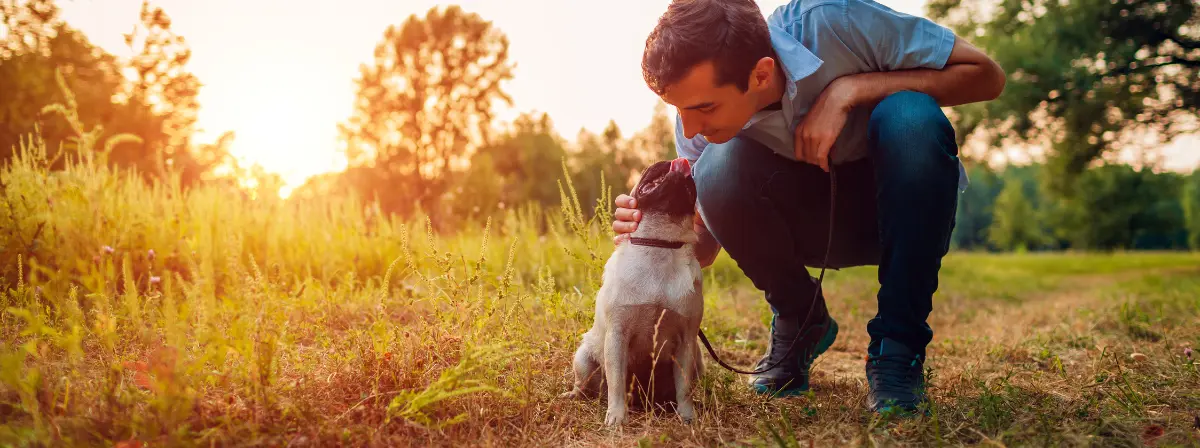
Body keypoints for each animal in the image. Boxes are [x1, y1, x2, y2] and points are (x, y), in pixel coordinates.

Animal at [559, 157, 700, 425]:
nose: (677, 159)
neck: (660, 244)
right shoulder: (617, 336)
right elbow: (616, 382)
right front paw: (616, 416)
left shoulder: (687, 341)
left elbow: (685, 388)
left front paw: (688, 417)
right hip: (583, 359)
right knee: (585, 384)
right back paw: (573, 395)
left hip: (699, 360)